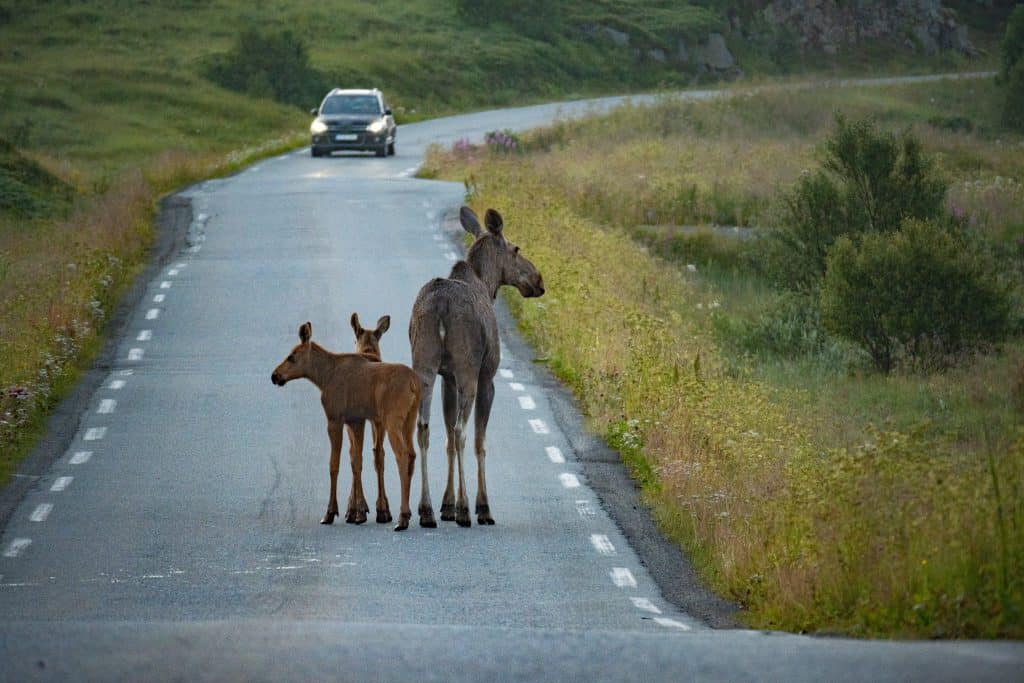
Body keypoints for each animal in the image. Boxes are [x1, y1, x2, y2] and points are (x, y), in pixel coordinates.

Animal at [271, 321, 420, 531]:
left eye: (291, 356)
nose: (275, 376)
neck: (322, 377)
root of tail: (414, 383)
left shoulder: (335, 418)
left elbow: (334, 464)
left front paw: (330, 512)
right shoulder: (355, 420)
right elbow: (356, 462)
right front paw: (358, 513)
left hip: (392, 419)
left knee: (402, 455)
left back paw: (402, 517)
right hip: (410, 419)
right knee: (412, 454)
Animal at [409, 206, 544, 528]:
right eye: (516, 249)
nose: (539, 280)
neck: (487, 283)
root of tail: (441, 308)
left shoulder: (447, 379)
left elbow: (446, 437)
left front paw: (446, 504)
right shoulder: (486, 377)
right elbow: (480, 442)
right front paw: (480, 506)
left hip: (424, 366)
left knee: (424, 427)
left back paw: (426, 509)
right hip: (468, 369)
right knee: (461, 431)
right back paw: (466, 509)